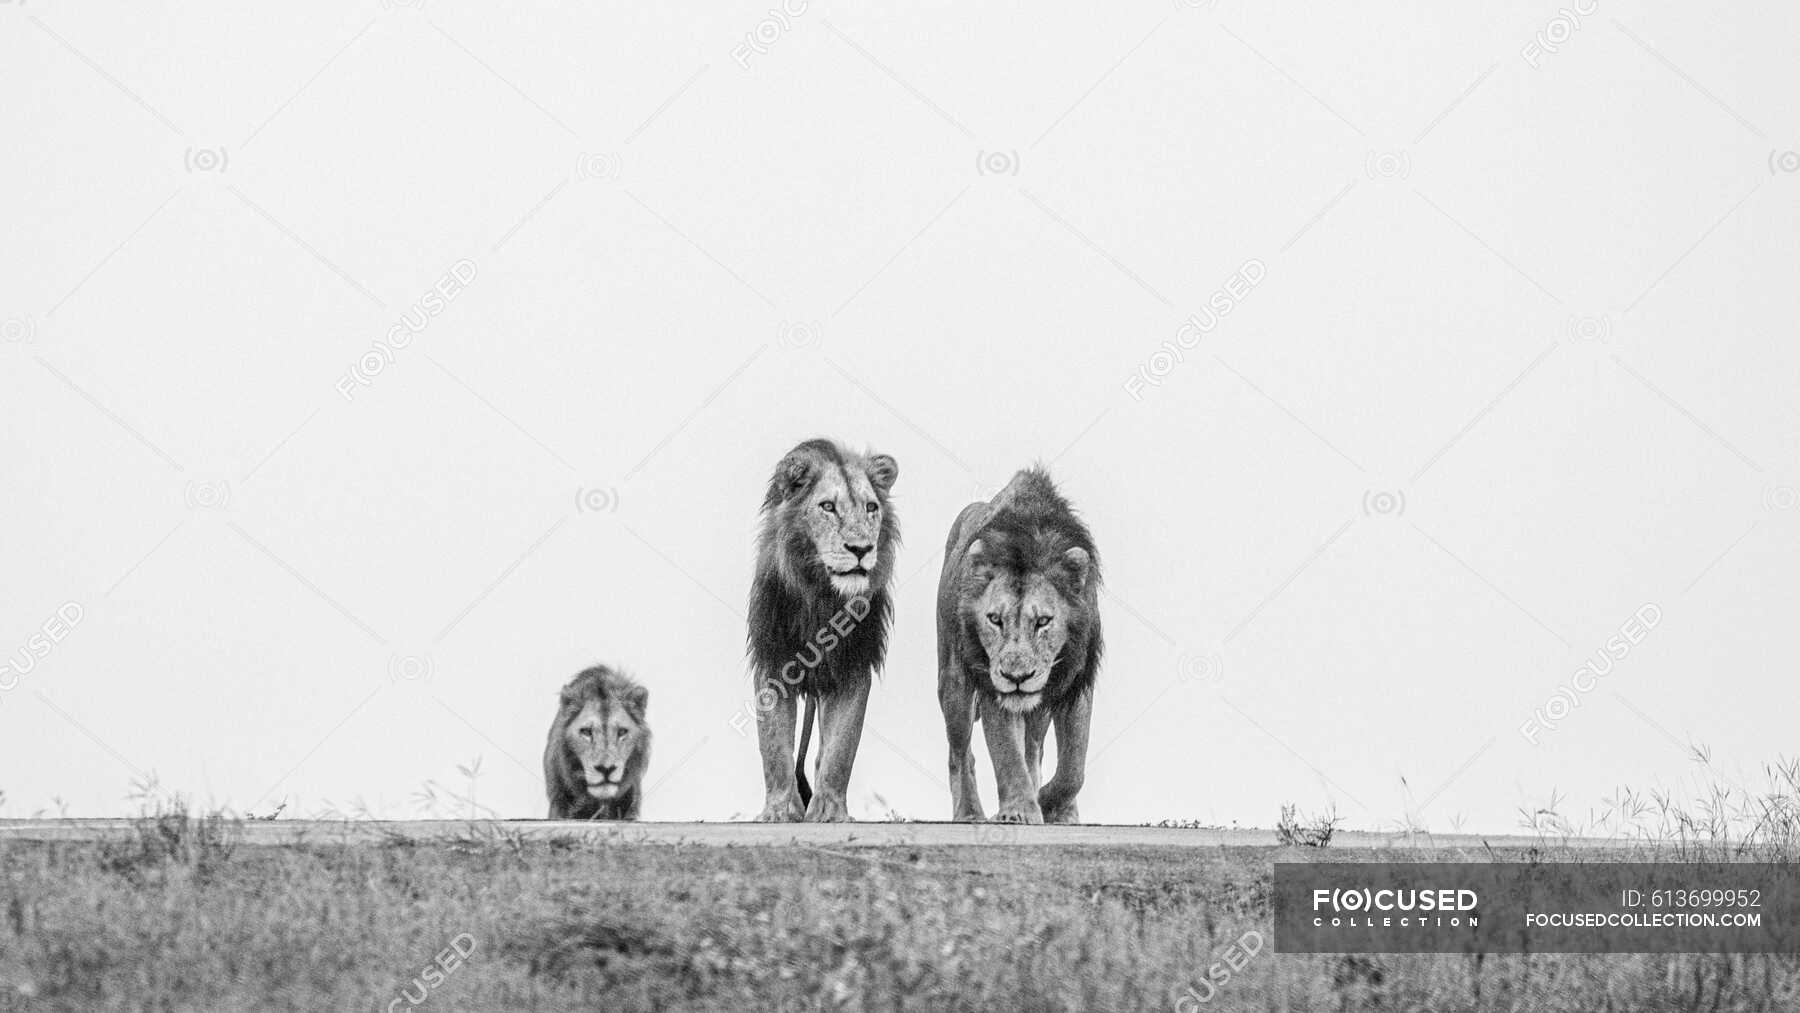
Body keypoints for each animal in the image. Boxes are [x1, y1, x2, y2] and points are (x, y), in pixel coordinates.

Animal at [745, 440, 900, 820]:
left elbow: (840, 750)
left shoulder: (853, 666)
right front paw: (778, 811)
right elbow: (774, 749)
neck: (821, 593)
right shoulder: (772, 662)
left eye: (871, 507)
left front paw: (829, 811)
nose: (861, 549)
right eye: (828, 506)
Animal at [936, 467, 1101, 824]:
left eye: (1043, 621)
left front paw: (1052, 805)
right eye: (995, 619)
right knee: (960, 753)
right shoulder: (991, 681)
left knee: (1034, 748)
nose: (1017, 677)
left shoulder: (1077, 680)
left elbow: (1073, 769)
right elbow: (1007, 754)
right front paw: (1020, 811)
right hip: (953, 682)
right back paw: (969, 812)